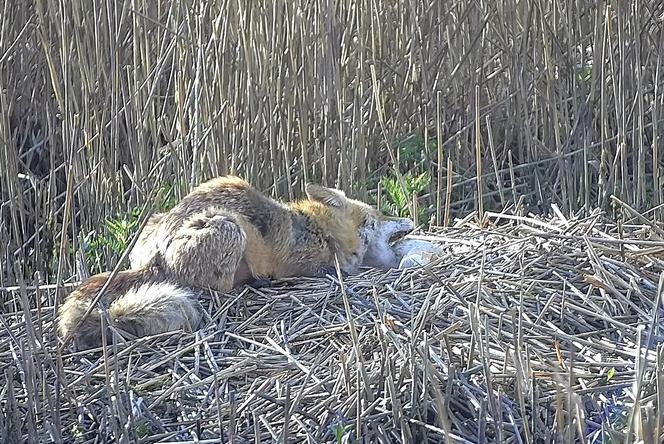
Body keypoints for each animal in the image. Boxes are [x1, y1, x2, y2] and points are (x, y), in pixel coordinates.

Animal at [61, 175, 416, 348]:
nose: (409, 219)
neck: (319, 230)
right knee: (217, 288)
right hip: (229, 228)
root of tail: (153, 254)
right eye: (377, 217)